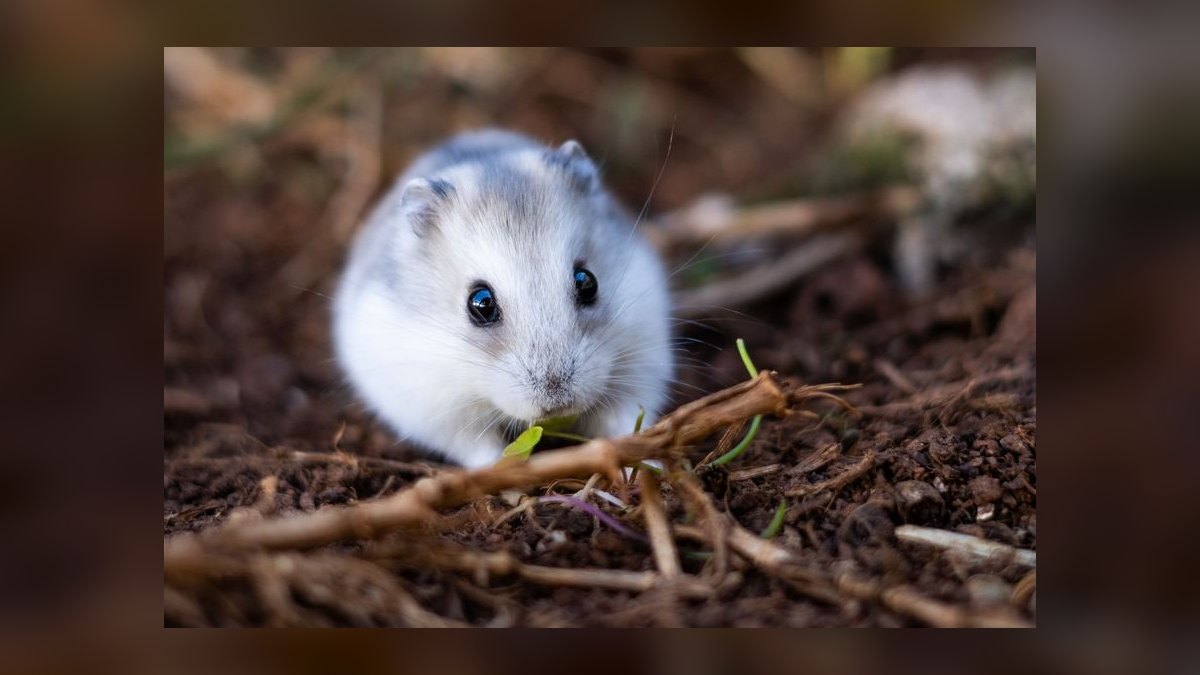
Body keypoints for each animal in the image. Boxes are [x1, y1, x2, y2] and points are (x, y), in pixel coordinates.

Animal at [333, 130, 673, 468]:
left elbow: (625, 424)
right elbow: (481, 449)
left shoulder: (639, 369)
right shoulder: (438, 412)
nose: (557, 398)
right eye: (480, 303)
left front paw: (649, 467)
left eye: (587, 282)